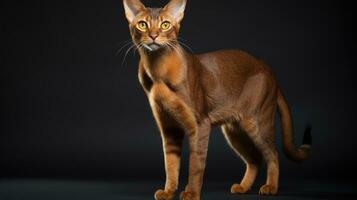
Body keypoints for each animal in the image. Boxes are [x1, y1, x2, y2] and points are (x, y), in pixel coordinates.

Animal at [121, 0, 308, 200]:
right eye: (142, 25)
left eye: (165, 25)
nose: (153, 36)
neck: (158, 70)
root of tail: (269, 71)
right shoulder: (169, 128)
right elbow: (170, 165)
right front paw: (168, 192)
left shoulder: (199, 124)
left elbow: (196, 163)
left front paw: (192, 193)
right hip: (234, 130)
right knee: (254, 158)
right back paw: (243, 187)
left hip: (257, 123)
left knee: (273, 154)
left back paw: (271, 187)